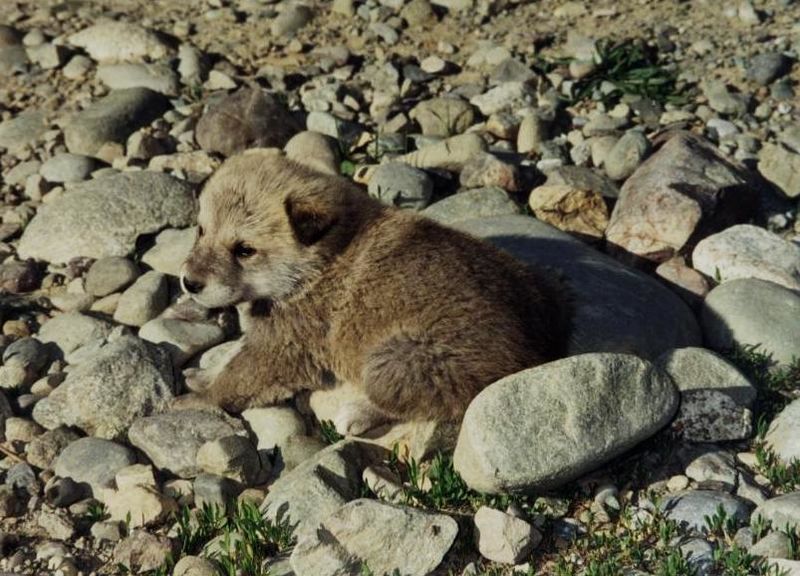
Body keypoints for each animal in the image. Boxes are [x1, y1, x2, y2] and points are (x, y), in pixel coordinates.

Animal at [180, 148, 572, 432]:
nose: (189, 281)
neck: (318, 264)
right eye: (200, 231)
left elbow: (236, 380)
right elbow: (232, 360)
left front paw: (192, 404)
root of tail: (539, 351)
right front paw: (204, 376)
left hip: (395, 359)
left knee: (433, 402)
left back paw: (358, 413)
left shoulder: (281, 349)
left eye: (244, 250)